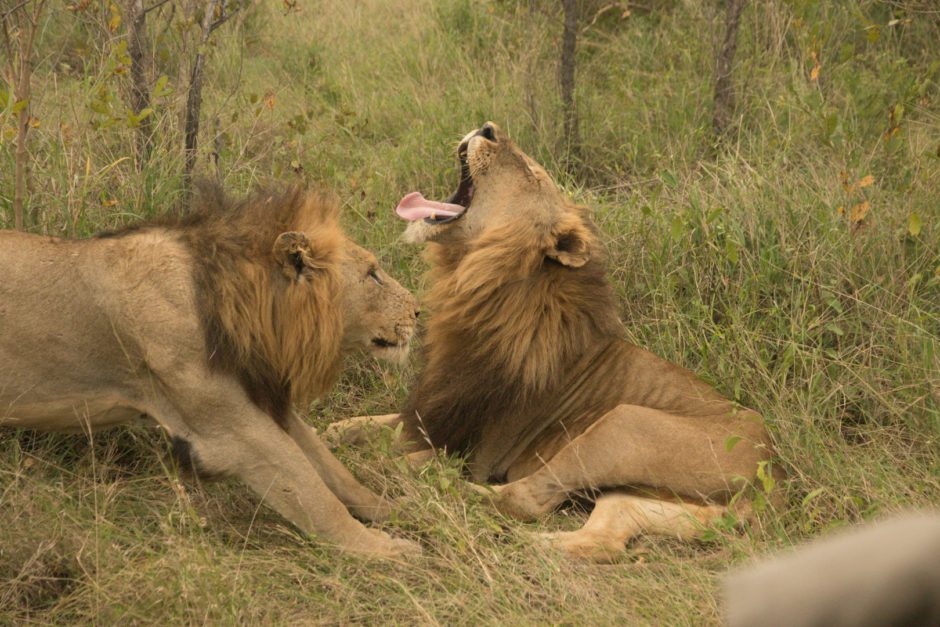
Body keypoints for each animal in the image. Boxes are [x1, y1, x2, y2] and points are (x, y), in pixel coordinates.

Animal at [0, 183, 418, 560]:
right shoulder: (228, 428)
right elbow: (310, 488)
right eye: (373, 274)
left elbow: (328, 465)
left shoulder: (258, 391)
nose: (417, 311)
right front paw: (383, 548)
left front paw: (393, 508)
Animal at [328, 124, 780, 564]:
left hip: (620, 425)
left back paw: (441, 487)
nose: (487, 128)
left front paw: (378, 463)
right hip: (640, 494)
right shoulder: (432, 411)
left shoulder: (468, 439)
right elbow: (357, 425)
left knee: (522, 498)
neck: (472, 281)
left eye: (532, 174)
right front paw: (333, 433)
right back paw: (530, 546)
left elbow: (390, 451)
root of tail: (768, 480)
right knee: (604, 538)